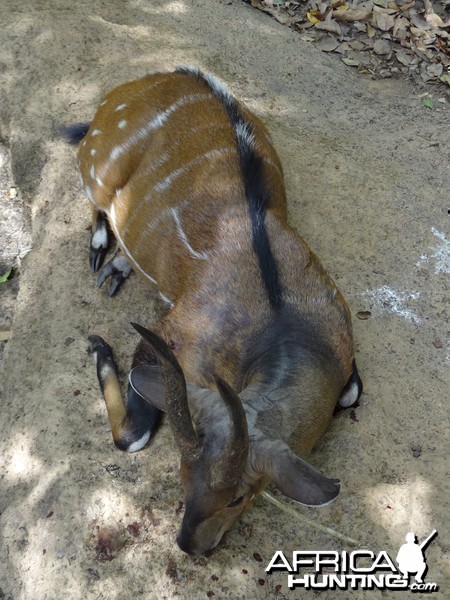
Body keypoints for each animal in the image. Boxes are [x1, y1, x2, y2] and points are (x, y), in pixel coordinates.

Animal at [69, 68, 362, 556]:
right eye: (182, 477)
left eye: (239, 497)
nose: (191, 544)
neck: (283, 330)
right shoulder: (168, 337)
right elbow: (133, 435)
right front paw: (97, 346)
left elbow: (352, 392)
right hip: (94, 170)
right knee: (94, 196)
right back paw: (101, 253)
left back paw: (117, 265)